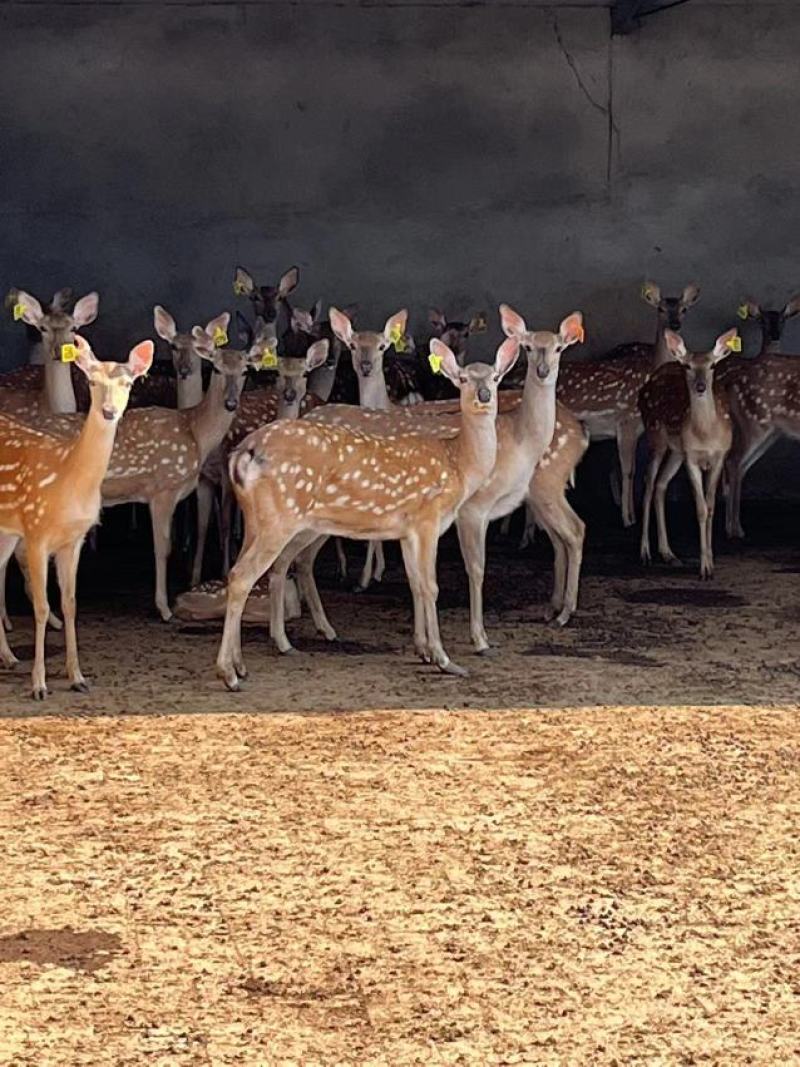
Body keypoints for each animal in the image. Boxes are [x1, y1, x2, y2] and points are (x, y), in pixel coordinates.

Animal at [0, 336, 152, 699]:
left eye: (127, 383)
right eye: (92, 382)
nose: (109, 411)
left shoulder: (74, 540)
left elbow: (70, 603)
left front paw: (77, 677)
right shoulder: (36, 532)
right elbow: (42, 607)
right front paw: (39, 684)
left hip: (7, 531)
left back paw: (9, 657)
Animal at [216, 336, 521, 690]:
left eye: (496, 378)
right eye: (462, 379)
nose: (484, 395)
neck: (458, 463)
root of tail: (244, 451)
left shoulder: (407, 529)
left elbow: (416, 584)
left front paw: (423, 651)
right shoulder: (428, 517)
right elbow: (431, 587)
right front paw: (445, 660)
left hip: (256, 520)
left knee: (244, 572)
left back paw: (242, 664)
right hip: (280, 517)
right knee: (243, 576)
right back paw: (229, 674)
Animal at [556, 281, 700, 527]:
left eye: (684, 309)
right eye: (660, 309)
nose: (675, 325)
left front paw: (631, 513)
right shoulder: (626, 420)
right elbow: (628, 470)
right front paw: (628, 519)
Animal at [639, 328, 737, 578]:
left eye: (712, 365)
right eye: (688, 366)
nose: (701, 386)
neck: (705, 435)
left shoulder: (719, 456)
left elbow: (711, 507)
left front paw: (711, 562)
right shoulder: (692, 458)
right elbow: (700, 509)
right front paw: (704, 569)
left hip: (676, 451)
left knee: (661, 485)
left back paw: (668, 554)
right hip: (655, 436)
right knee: (648, 483)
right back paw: (645, 553)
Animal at [720, 293, 800, 538]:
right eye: (763, 322)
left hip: (770, 432)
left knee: (740, 465)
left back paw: (733, 526)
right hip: (754, 422)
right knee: (734, 461)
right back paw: (734, 530)